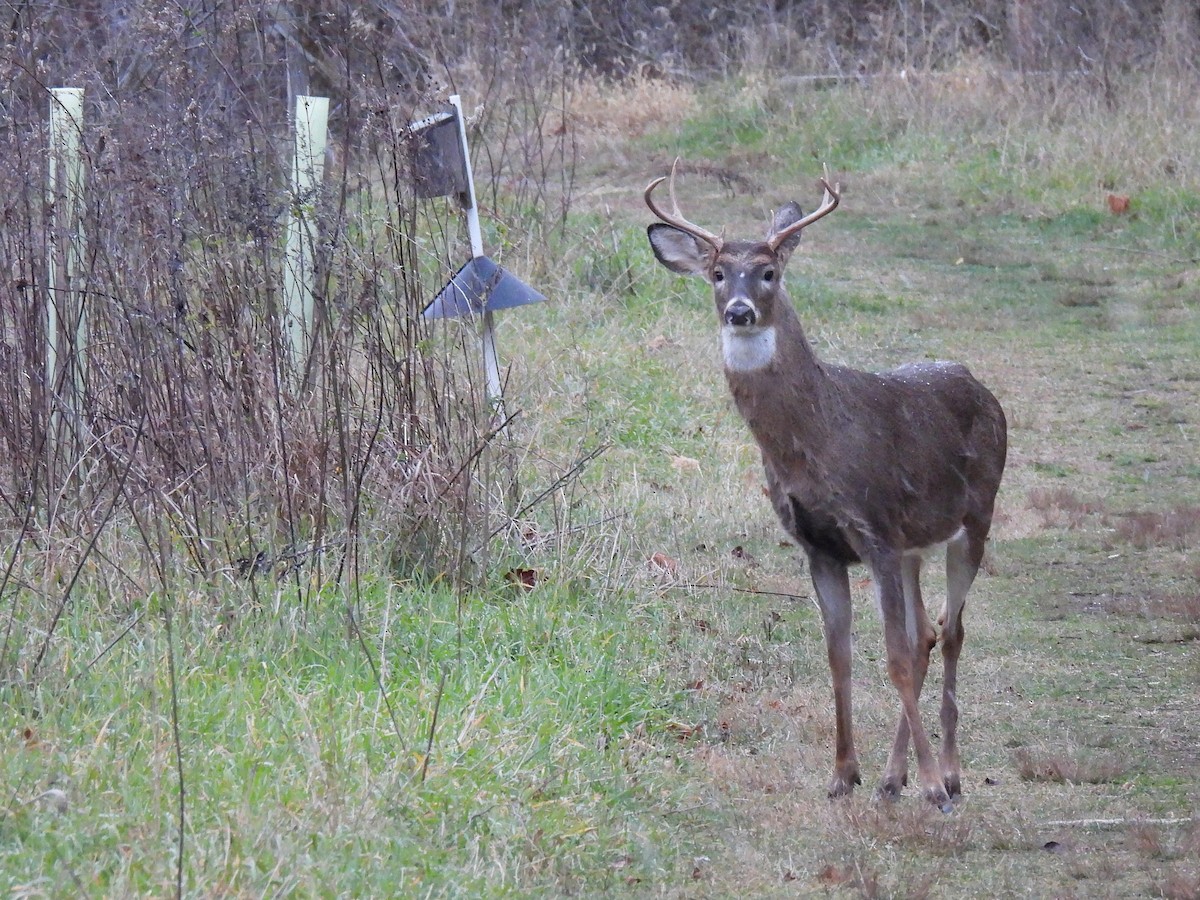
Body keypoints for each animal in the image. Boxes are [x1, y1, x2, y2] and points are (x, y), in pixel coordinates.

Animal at [645, 164, 1007, 811]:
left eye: (769, 272)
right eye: (718, 273)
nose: (740, 311)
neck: (815, 441)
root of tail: (981, 387)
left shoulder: (876, 531)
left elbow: (892, 658)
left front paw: (931, 785)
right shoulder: (821, 545)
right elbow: (839, 657)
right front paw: (843, 775)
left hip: (976, 519)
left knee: (951, 631)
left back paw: (949, 777)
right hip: (915, 546)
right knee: (926, 634)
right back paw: (893, 778)